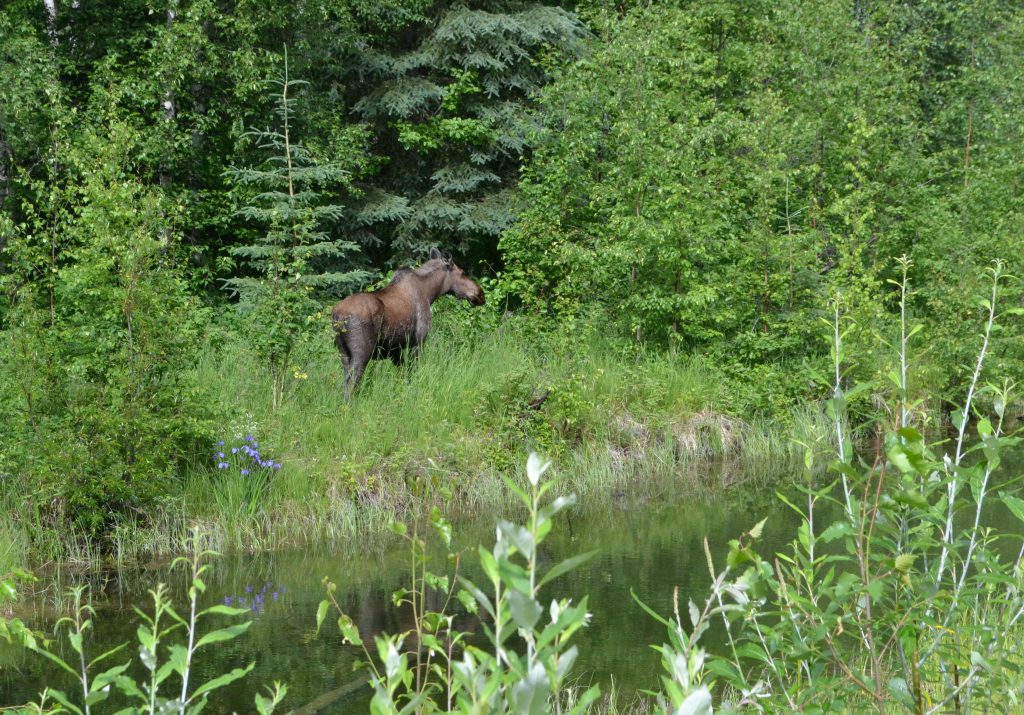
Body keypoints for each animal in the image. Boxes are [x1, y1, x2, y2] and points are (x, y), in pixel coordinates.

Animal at [329, 247, 485, 397]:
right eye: (462, 272)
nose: (480, 293)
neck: (430, 293)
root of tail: (338, 317)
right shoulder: (417, 341)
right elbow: (411, 372)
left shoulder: (395, 350)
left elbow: (403, 376)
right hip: (362, 353)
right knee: (351, 386)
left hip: (344, 354)